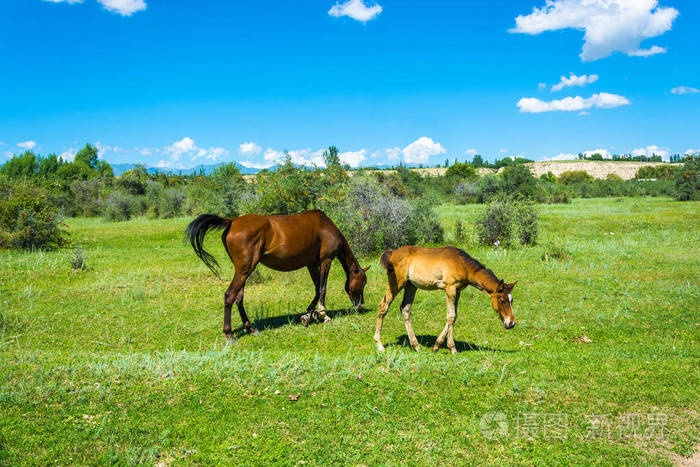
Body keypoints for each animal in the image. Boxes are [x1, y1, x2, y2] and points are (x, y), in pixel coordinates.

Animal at [186, 210, 369, 338]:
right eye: (362, 282)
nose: (360, 305)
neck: (326, 227)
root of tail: (231, 222)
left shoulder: (311, 264)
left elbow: (317, 289)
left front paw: (309, 315)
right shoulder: (326, 261)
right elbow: (323, 289)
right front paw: (323, 315)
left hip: (243, 271)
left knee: (238, 297)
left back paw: (250, 328)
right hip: (244, 270)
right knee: (230, 295)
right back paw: (229, 334)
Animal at [374, 246, 517, 354]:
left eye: (511, 300)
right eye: (502, 300)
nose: (511, 323)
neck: (463, 264)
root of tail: (392, 253)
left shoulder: (457, 291)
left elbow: (453, 317)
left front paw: (436, 346)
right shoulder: (450, 289)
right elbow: (451, 316)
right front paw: (452, 348)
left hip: (411, 286)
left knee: (405, 309)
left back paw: (416, 345)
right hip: (397, 283)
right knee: (383, 306)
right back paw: (379, 344)